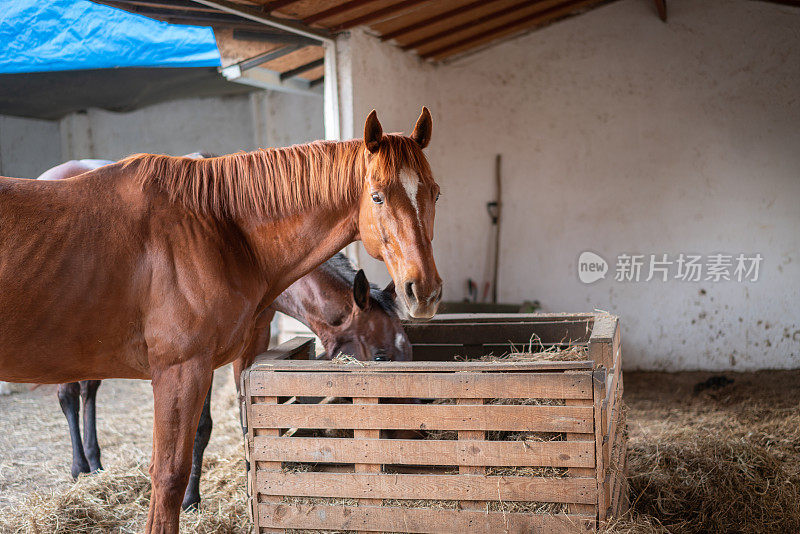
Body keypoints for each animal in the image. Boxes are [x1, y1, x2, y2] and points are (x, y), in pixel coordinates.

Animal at [0, 110, 440, 534]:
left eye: (435, 192)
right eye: (378, 196)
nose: (425, 290)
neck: (221, 228)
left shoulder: (247, 345)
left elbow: (239, 426)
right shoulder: (183, 367)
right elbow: (176, 462)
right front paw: (193, 499)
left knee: (88, 390)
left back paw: (94, 463)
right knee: (70, 396)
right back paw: (80, 468)